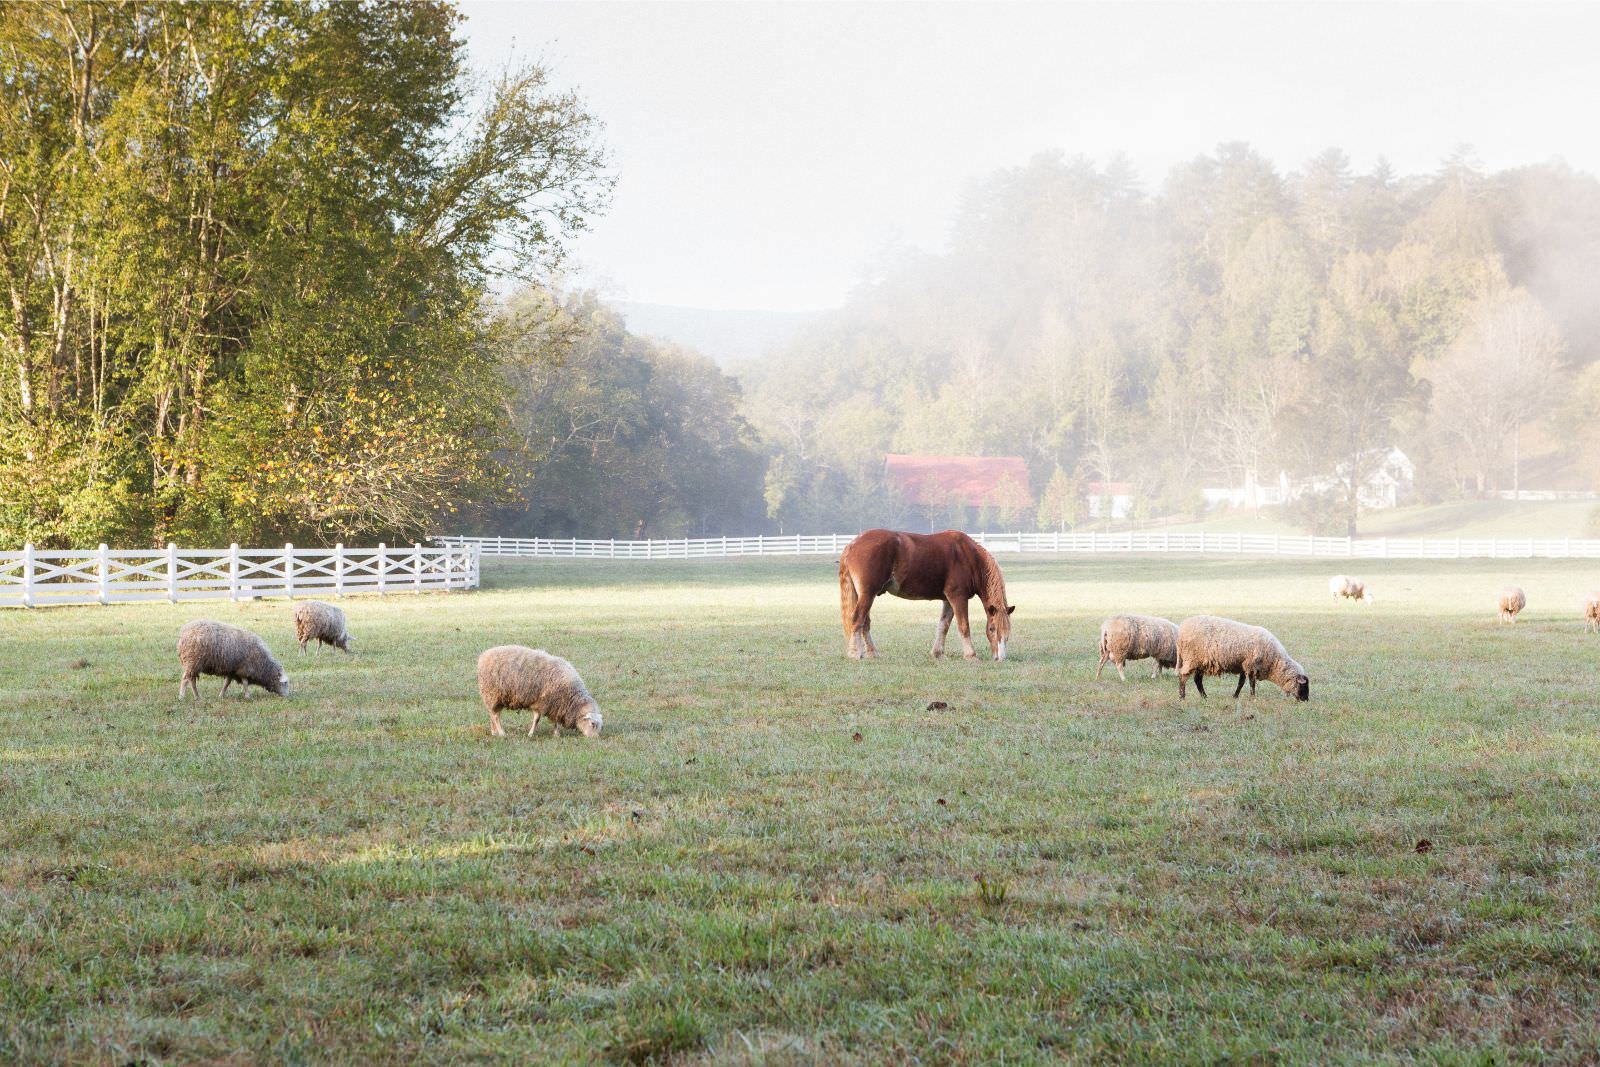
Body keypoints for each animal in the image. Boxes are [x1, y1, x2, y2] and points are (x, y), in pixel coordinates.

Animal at [838, 527, 1011, 659]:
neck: (968, 556)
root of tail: (852, 544)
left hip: (866, 595)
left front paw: (937, 653)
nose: (1000, 658)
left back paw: (873, 653)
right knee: (858, 619)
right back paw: (855, 653)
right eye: (992, 629)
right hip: (868, 594)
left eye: (1008, 631)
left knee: (865, 623)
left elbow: (943, 625)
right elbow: (964, 626)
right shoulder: (958, 597)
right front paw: (971, 655)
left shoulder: (948, 600)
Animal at [1177, 617, 1312, 710]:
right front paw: (1253, 698)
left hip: (1200, 662)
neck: (1275, 662)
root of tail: (1182, 628)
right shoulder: (1251, 665)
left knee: (1197, 680)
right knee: (1183, 677)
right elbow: (1252, 684)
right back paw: (1182, 697)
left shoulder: (1244, 665)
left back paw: (1204, 697)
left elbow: (1241, 683)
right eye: (1303, 686)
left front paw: (1235, 696)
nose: (1306, 700)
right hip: (1192, 658)